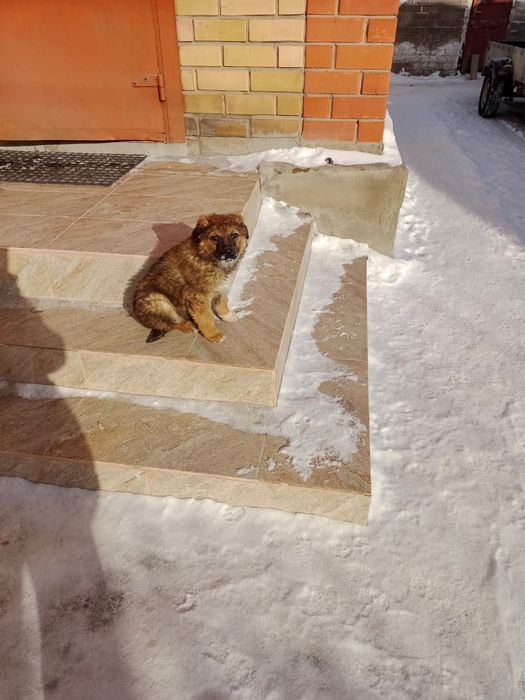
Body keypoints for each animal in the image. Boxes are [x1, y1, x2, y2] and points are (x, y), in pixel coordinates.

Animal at [132, 213, 248, 344]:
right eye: (214, 238)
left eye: (235, 235)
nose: (228, 251)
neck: (208, 258)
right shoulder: (198, 297)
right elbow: (206, 317)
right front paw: (214, 335)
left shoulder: (221, 287)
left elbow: (222, 302)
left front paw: (228, 315)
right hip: (158, 301)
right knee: (171, 324)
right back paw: (189, 326)